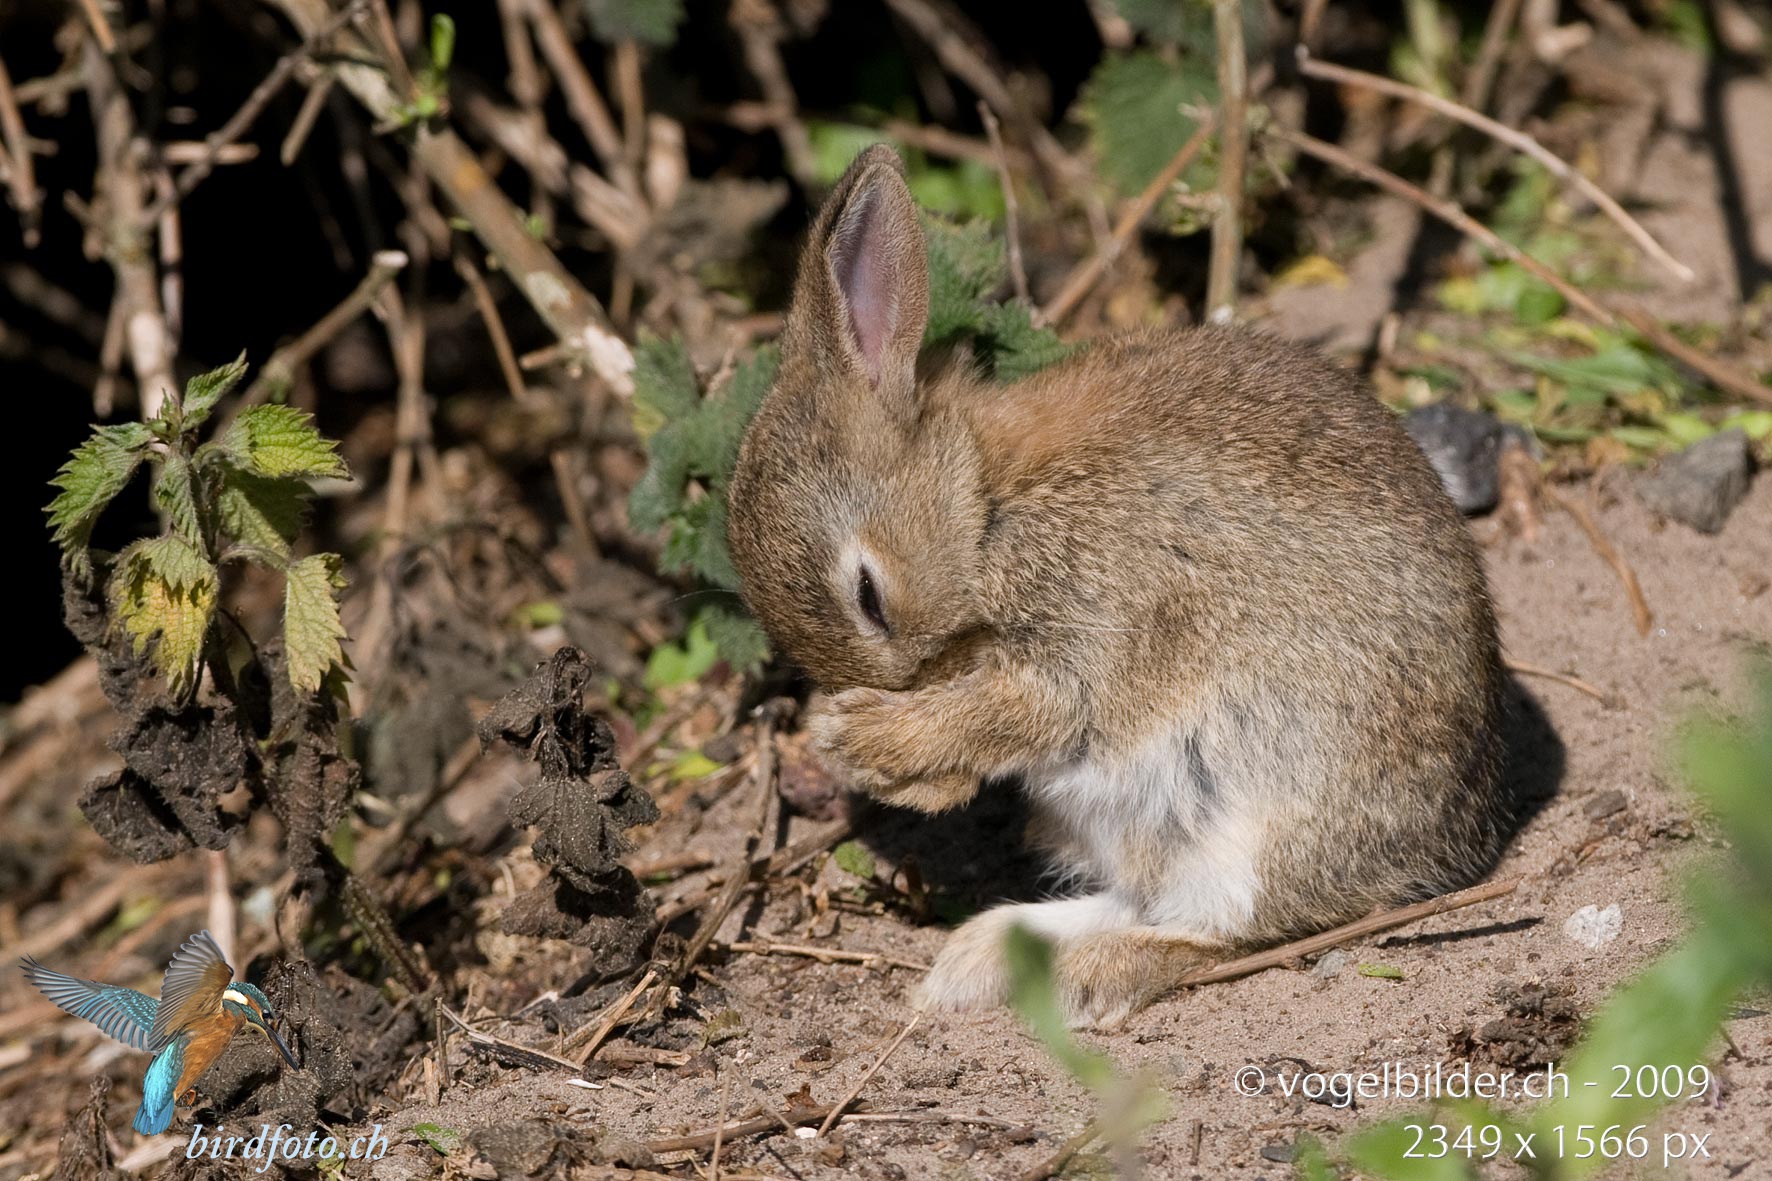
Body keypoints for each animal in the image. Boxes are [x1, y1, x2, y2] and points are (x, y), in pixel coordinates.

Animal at [726, 144, 1509, 1027]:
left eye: (869, 596)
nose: (934, 788)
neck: (982, 502)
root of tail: (1455, 845)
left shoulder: (1092, 625)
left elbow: (1032, 708)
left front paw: (861, 742)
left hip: (1259, 818)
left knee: (1227, 928)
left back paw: (1082, 974)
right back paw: (980, 957)